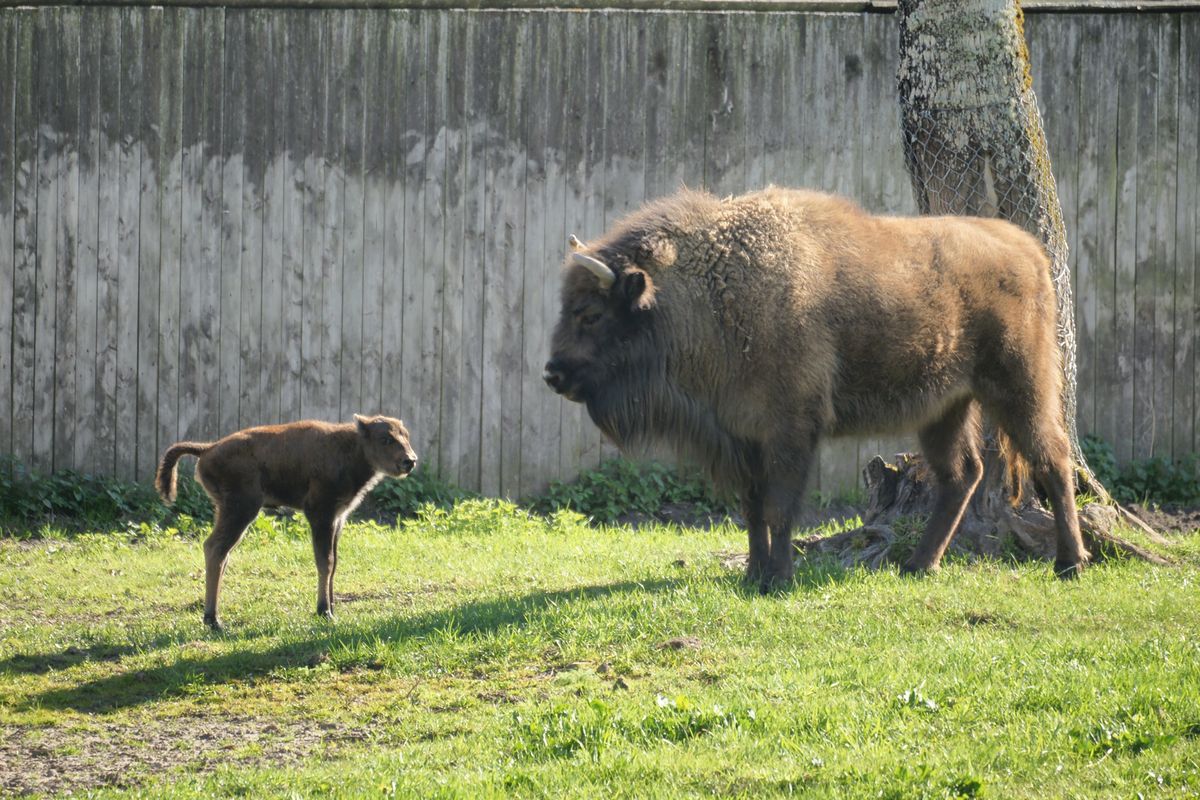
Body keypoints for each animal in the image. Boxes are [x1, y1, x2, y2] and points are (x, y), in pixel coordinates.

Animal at [156, 417, 417, 628]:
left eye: (405, 435)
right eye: (385, 438)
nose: (410, 460)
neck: (352, 446)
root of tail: (208, 449)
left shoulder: (338, 519)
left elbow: (334, 563)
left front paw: (333, 607)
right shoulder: (320, 515)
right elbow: (325, 562)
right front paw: (324, 611)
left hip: (229, 512)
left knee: (222, 553)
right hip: (241, 510)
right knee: (214, 548)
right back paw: (214, 620)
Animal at [544, 185, 1089, 587]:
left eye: (590, 313)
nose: (553, 374)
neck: (710, 291)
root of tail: (1028, 249)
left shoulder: (790, 430)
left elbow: (780, 508)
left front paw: (779, 578)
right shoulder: (743, 435)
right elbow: (753, 509)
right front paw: (753, 575)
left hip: (1019, 384)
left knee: (1052, 457)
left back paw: (1070, 563)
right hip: (944, 408)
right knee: (963, 473)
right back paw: (919, 565)